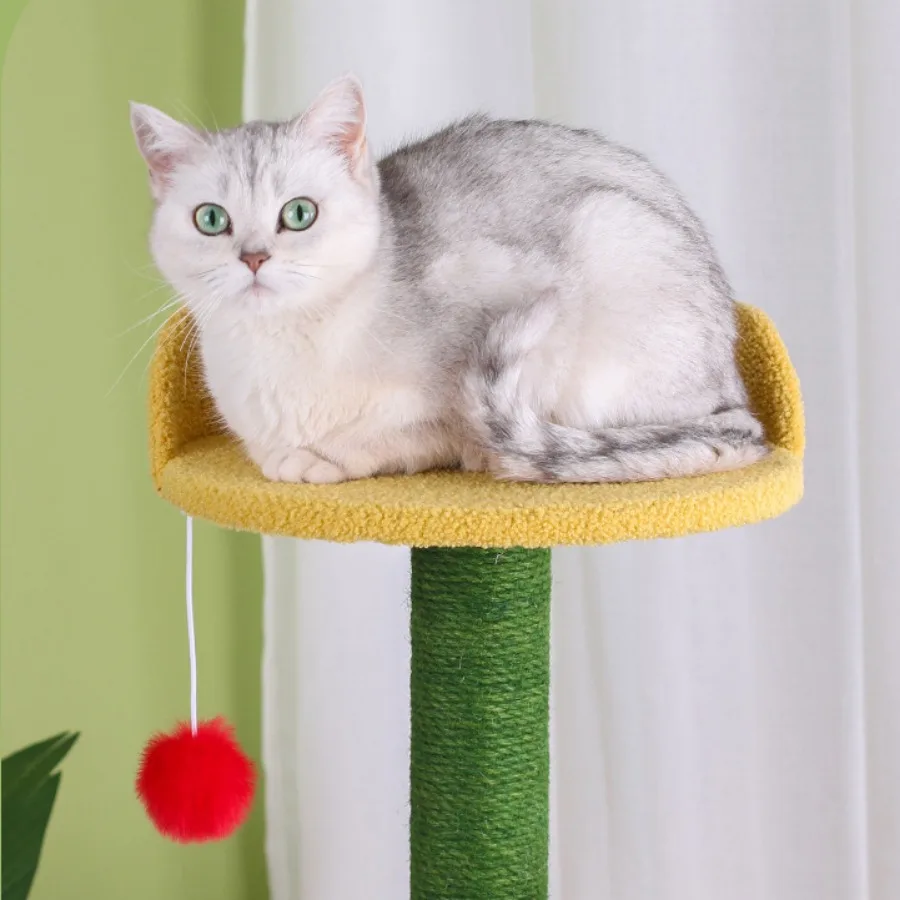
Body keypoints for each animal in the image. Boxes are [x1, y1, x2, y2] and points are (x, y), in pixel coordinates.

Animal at [131, 74, 766, 485]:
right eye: (211, 220)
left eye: (299, 214)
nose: (254, 258)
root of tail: (735, 392)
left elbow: (409, 435)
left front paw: (321, 457)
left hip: (609, 233)